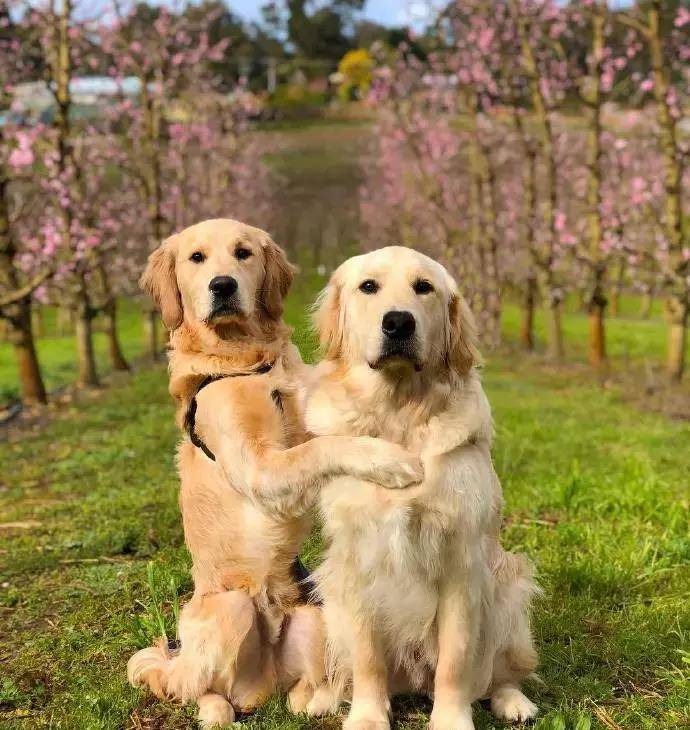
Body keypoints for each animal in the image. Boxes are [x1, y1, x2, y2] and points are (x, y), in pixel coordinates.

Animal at [126, 219, 422, 724]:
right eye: (196, 258)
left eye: (243, 253)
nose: (222, 286)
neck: (249, 362)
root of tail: (262, 684)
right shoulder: (260, 467)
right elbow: (323, 448)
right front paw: (387, 459)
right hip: (230, 608)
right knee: (201, 689)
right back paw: (214, 709)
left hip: (314, 613)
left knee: (298, 691)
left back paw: (316, 698)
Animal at [302, 246, 536, 728]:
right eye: (368, 286)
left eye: (423, 287)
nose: (398, 322)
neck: (399, 412)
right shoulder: (358, 560)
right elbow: (367, 659)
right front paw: (367, 716)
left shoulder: (462, 563)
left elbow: (456, 660)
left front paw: (450, 719)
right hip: (329, 599)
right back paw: (325, 698)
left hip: (509, 590)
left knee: (499, 671)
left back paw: (513, 701)